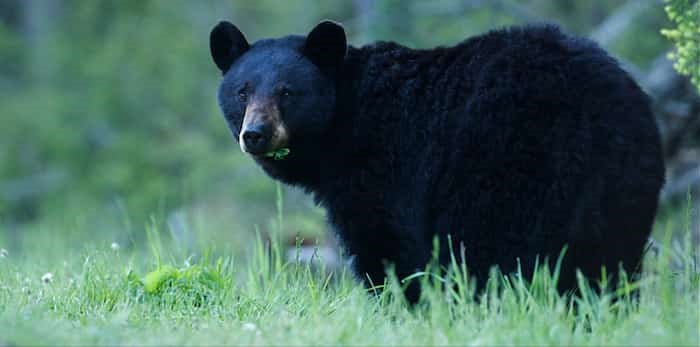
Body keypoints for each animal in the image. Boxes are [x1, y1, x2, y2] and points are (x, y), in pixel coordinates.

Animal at [208, 20, 660, 302]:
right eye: (242, 91)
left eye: (288, 92)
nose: (256, 134)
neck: (346, 122)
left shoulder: (383, 174)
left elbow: (387, 248)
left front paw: (400, 304)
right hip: (623, 189)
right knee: (607, 263)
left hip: (506, 170)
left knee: (496, 250)